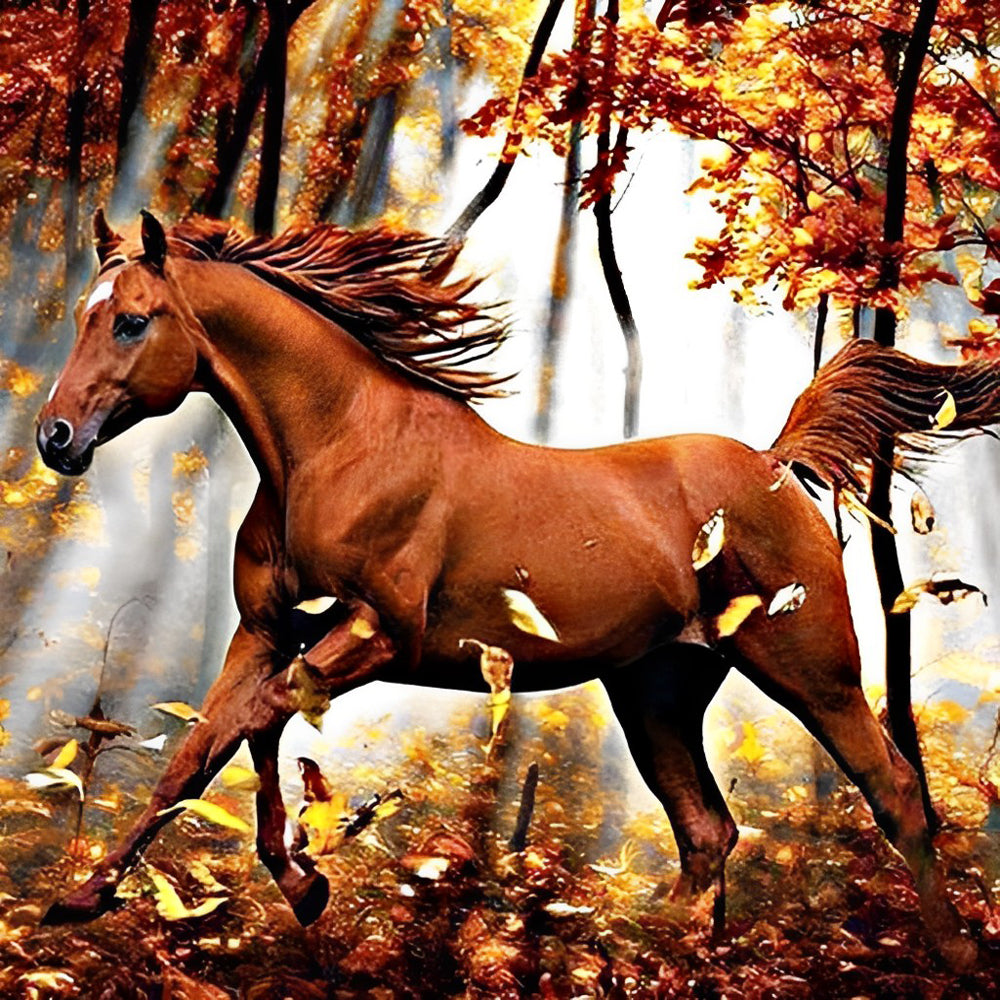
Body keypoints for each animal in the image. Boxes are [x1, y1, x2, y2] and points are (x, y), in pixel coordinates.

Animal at [34, 209, 1000, 968]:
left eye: (132, 321)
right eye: (87, 315)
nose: (56, 437)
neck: (338, 446)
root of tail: (773, 464)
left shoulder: (375, 633)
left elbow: (255, 721)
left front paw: (303, 881)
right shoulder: (268, 630)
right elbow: (202, 750)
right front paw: (82, 900)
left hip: (812, 668)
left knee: (893, 787)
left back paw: (951, 954)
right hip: (656, 695)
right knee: (707, 830)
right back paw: (665, 952)